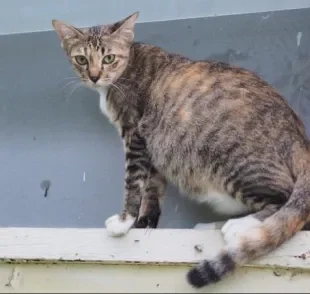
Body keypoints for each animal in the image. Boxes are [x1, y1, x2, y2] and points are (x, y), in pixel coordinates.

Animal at [52, 12, 310, 288]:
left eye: (108, 58)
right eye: (81, 59)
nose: (94, 76)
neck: (127, 67)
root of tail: (300, 139)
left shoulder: (135, 134)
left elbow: (133, 183)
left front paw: (124, 221)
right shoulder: (152, 144)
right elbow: (152, 188)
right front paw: (145, 222)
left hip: (235, 163)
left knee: (287, 201)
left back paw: (240, 226)